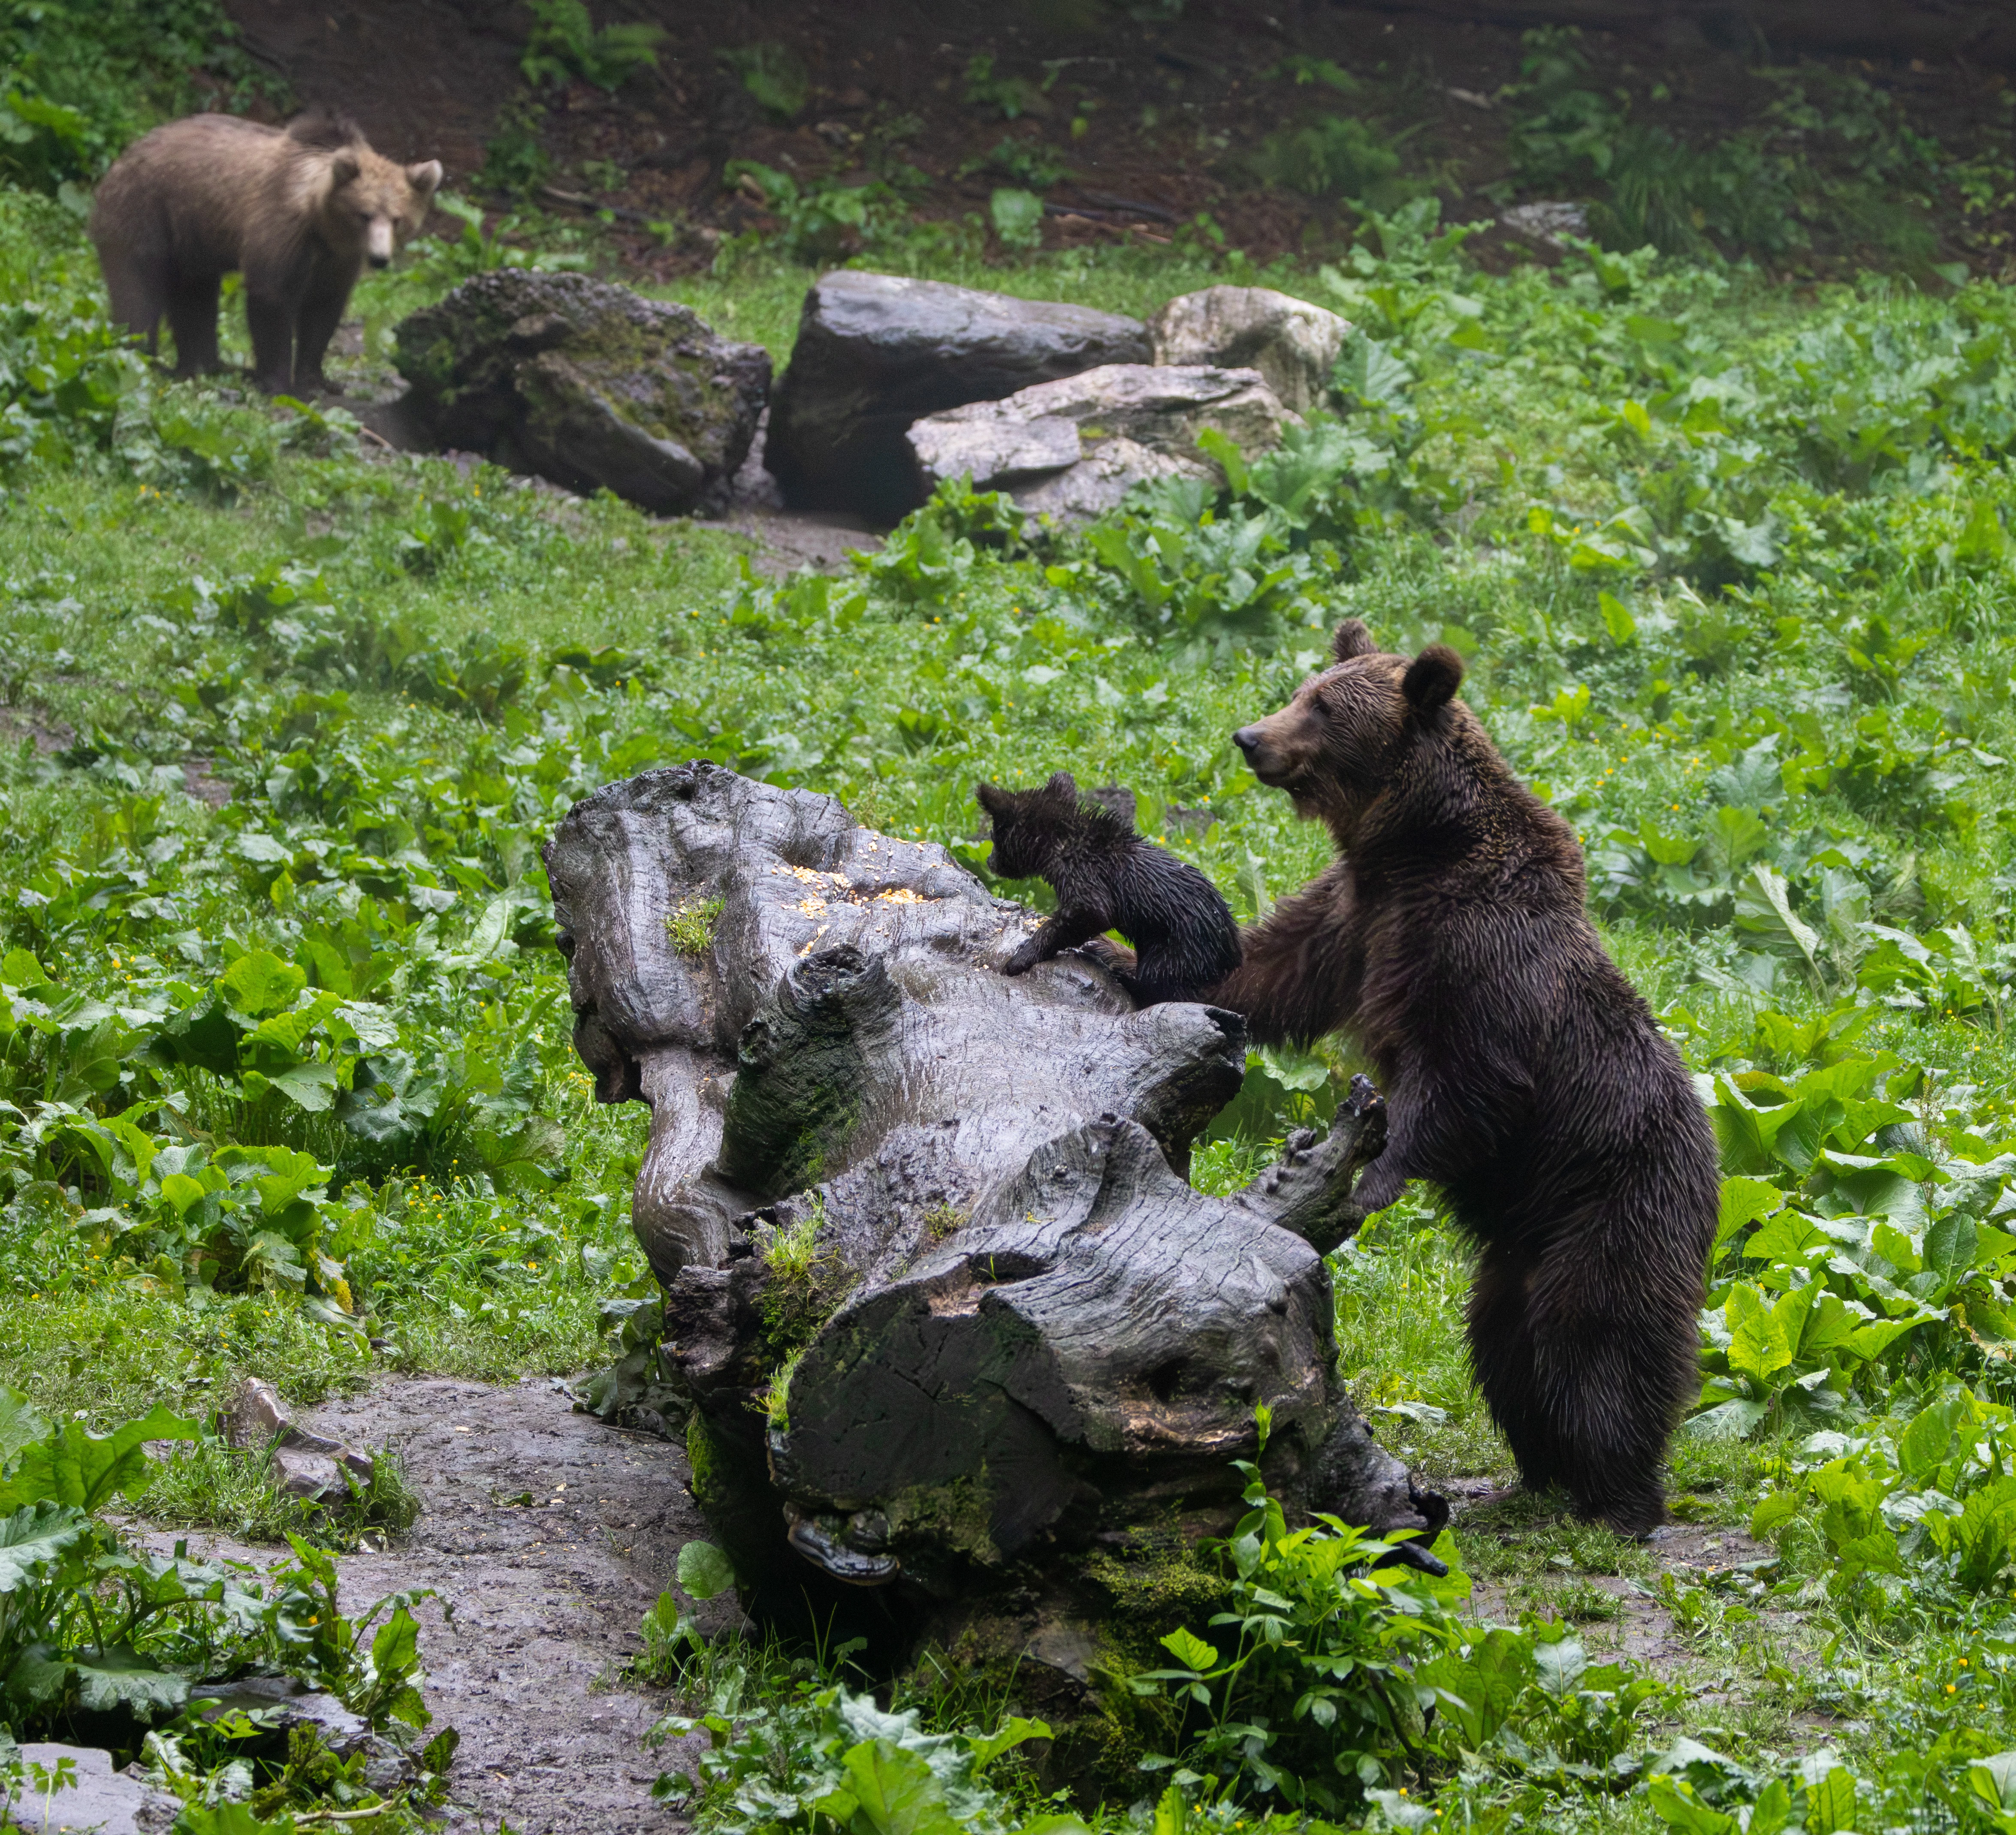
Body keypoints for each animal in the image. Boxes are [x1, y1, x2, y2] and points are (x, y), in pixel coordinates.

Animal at [88, 108, 442, 396]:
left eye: (397, 219)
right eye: (365, 215)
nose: (380, 259)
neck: (323, 228)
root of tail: (120, 160)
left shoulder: (337, 261)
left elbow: (323, 310)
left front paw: (319, 380)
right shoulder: (283, 230)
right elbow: (272, 296)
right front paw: (278, 382)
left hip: (191, 237)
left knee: (195, 295)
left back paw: (207, 365)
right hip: (146, 212)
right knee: (138, 290)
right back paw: (142, 357)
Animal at [977, 771, 1242, 1007]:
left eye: (995, 837)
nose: (989, 861)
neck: (1061, 846)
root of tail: (1231, 955)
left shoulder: (1085, 879)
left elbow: (1089, 914)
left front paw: (1021, 958)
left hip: (1178, 949)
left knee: (1162, 983)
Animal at [1208, 620, 1718, 1534]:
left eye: (1324, 706)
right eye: (1303, 688)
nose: (1251, 737)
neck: (1415, 846)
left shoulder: (1479, 951)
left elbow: (1471, 1074)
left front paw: (1369, 1177)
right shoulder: (1357, 915)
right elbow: (1270, 968)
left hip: (1616, 1201)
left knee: (1599, 1339)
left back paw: (1620, 1494)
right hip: (1517, 1247)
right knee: (1504, 1346)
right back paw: (1541, 1470)